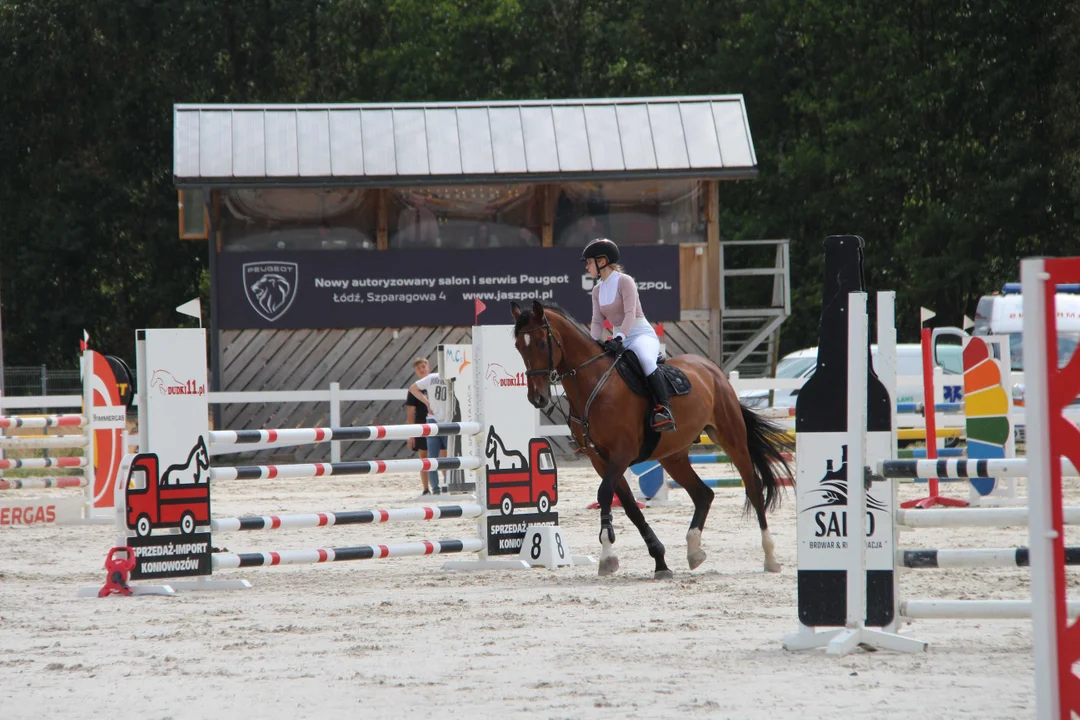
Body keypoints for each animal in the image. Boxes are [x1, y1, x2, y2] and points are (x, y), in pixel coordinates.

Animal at [509, 300, 790, 578]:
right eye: (518, 346)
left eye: (541, 343)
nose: (537, 398)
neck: (593, 385)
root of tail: (712, 369)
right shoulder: (600, 460)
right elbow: (629, 506)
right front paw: (660, 561)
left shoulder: (622, 453)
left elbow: (605, 494)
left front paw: (607, 555)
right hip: (673, 457)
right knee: (703, 494)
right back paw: (694, 551)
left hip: (732, 438)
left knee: (753, 487)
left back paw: (770, 556)